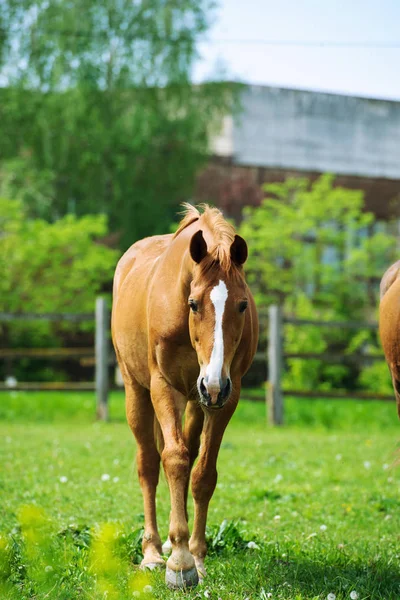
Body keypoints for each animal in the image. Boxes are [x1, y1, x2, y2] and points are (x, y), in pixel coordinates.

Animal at [111, 204, 258, 588]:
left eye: (241, 305)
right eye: (193, 303)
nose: (214, 384)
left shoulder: (226, 396)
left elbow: (203, 473)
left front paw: (197, 556)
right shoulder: (165, 387)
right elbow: (173, 460)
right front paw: (179, 563)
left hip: (197, 400)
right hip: (138, 392)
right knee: (149, 463)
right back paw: (151, 552)